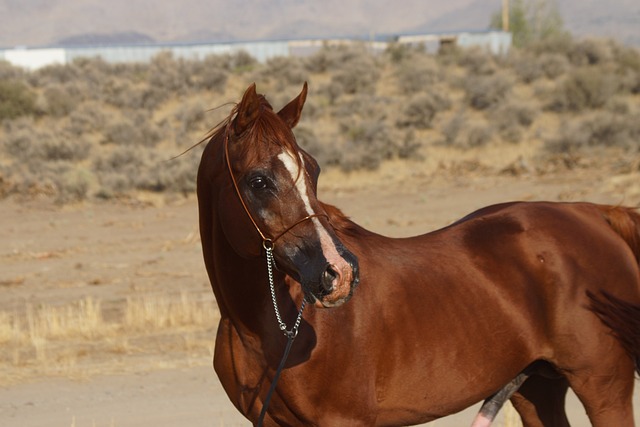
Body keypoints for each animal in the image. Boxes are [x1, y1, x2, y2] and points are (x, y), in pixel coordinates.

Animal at [199, 83, 640, 427]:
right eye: (259, 181)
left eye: (314, 169)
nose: (339, 272)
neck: (264, 326)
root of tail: (595, 213)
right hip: (536, 389)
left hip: (602, 387)